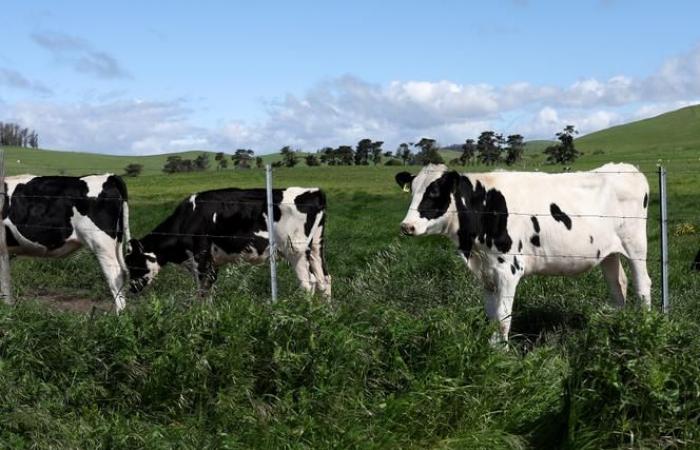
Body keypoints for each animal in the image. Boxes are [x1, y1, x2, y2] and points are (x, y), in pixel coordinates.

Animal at [125, 185, 330, 296]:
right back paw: (325, 315)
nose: (131, 290)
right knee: (324, 280)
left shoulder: (201, 258)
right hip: (316, 247)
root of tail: (314, 192)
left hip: (296, 250)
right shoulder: (212, 262)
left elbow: (202, 290)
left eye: (134, 263)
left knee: (308, 283)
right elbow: (210, 289)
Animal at [396, 163, 652, 340]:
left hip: (636, 245)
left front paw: (502, 356)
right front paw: (491, 348)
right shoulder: (486, 272)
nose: (407, 226)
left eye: (434, 192)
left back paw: (645, 324)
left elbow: (503, 316)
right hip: (608, 252)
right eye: (412, 191)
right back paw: (615, 322)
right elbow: (491, 315)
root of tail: (627, 168)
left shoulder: (508, 270)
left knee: (642, 284)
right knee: (618, 284)